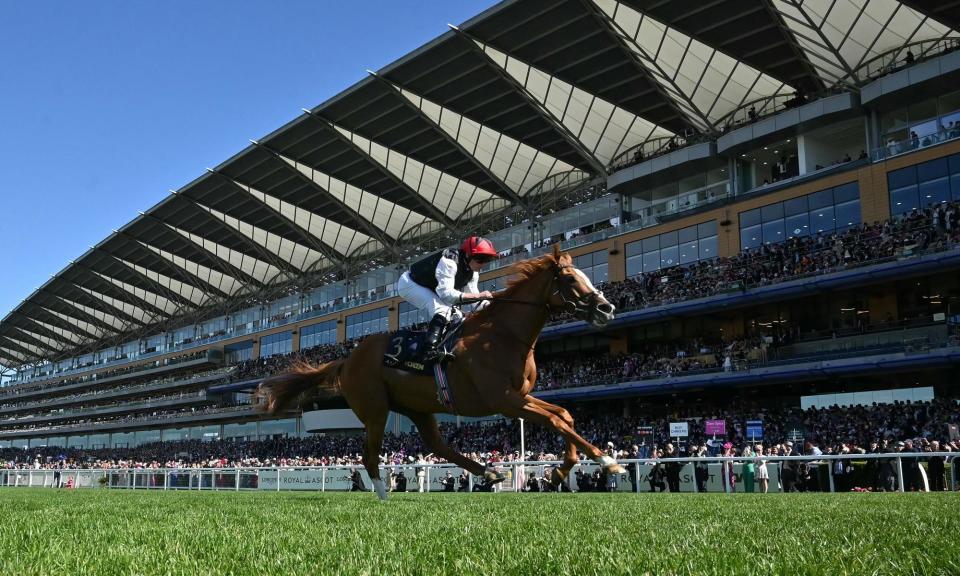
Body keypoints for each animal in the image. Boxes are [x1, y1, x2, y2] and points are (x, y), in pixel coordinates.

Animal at [256, 245, 616, 498]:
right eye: (570, 279)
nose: (606, 307)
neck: (502, 334)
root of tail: (347, 359)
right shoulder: (504, 400)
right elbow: (557, 420)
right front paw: (606, 461)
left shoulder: (520, 396)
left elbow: (564, 415)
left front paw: (560, 472)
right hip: (375, 408)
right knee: (370, 454)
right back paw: (383, 493)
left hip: (418, 407)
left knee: (436, 444)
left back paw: (488, 473)